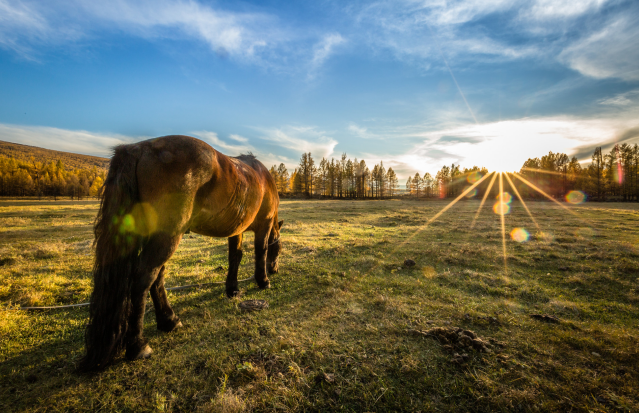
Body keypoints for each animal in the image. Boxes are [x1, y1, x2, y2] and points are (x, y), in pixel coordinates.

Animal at [77, 134, 282, 370]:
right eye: (279, 249)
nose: (275, 270)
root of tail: (139, 148)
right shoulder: (264, 224)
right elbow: (261, 251)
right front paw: (263, 280)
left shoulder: (235, 229)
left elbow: (235, 258)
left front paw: (233, 289)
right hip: (168, 236)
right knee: (144, 278)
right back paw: (138, 345)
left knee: (156, 277)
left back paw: (169, 321)